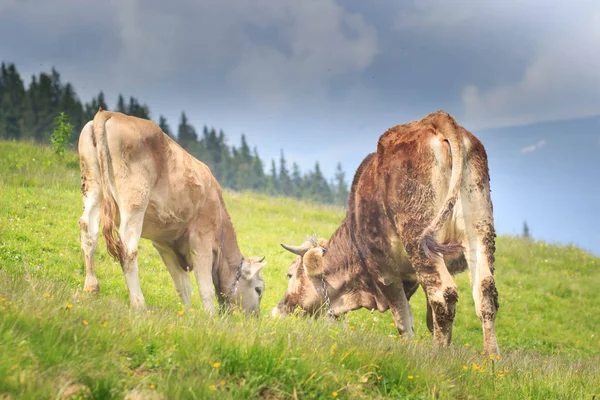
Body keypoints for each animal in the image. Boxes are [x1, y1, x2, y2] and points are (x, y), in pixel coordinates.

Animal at [78, 109, 266, 316]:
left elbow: (183, 285)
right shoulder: (202, 237)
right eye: (258, 289)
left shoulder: (164, 242)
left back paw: (92, 287)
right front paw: (209, 317)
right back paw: (139, 304)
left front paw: (188, 314)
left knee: (89, 231)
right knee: (128, 248)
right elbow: (205, 286)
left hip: (93, 185)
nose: (254, 318)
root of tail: (110, 114)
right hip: (134, 199)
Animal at [274, 109, 500, 354]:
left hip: (417, 234)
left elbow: (403, 318)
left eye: (290, 274)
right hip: (479, 228)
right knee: (485, 292)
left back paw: (438, 355)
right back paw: (491, 357)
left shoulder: (385, 271)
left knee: (443, 296)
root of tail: (436, 118)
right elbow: (427, 319)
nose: (277, 310)